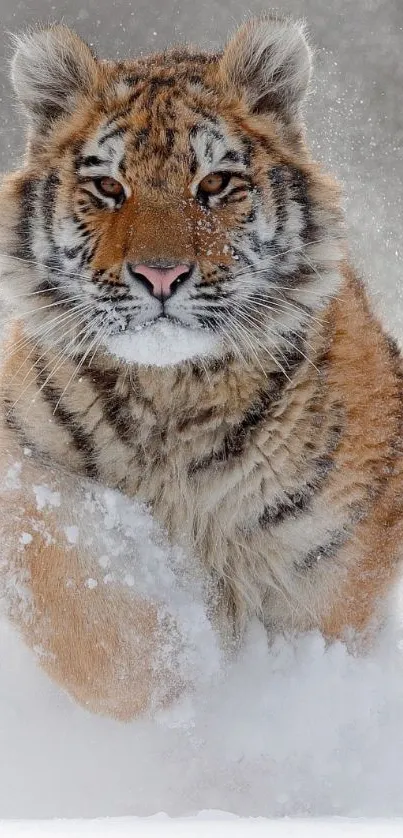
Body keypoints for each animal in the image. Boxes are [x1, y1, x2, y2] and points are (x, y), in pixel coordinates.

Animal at [0, 13, 403, 720]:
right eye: (108, 186)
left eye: (214, 184)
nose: (160, 275)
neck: (172, 397)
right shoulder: (22, 466)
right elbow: (76, 593)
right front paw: (174, 676)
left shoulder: (330, 568)